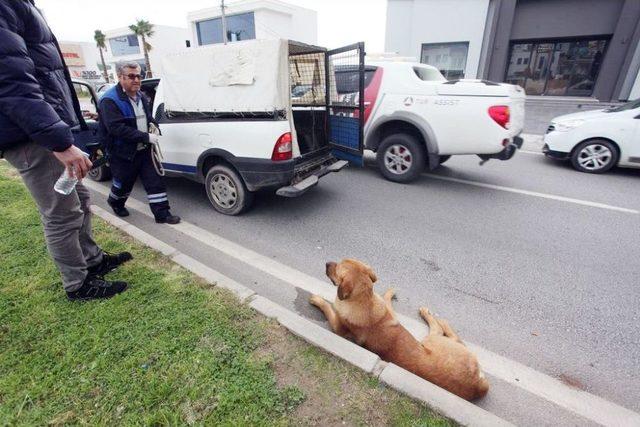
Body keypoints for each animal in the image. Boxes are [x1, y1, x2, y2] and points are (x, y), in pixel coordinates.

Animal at [310, 260, 490, 402]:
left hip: (431, 340)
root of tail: (478, 384)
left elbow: (328, 308)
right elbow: (387, 301)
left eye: (337, 268)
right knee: (456, 339)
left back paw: (431, 316)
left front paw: (317, 299)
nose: (327, 262)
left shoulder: (337, 326)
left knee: (440, 329)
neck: (364, 300)